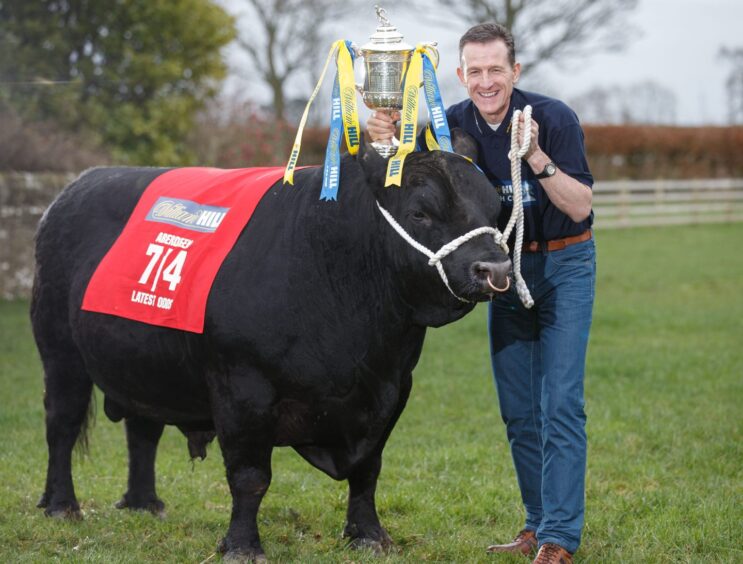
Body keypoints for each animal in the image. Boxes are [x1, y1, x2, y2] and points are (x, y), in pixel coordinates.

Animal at [32, 132, 516, 560]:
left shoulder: (394, 388)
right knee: (62, 424)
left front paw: (369, 536)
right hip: (60, 353)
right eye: (420, 213)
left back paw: (143, 503)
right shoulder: (242, 388)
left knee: (143, 428)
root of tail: (77, 186)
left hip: (145, 362)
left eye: (496, 208)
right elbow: (250, 476)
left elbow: (368, 469)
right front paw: (243, 546)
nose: (494, 269)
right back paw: (62, 506)